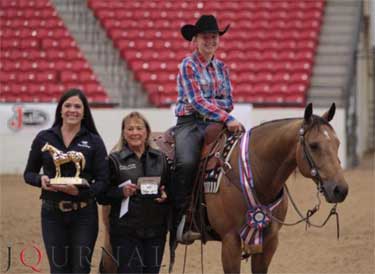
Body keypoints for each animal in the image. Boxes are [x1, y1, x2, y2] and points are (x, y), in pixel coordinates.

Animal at [100, 103, 350, 274]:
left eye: (338, 143)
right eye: (314, 145)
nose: (340, 189)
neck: (252, 172)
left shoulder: (269, 241)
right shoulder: (230, 242)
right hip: (113, 235)